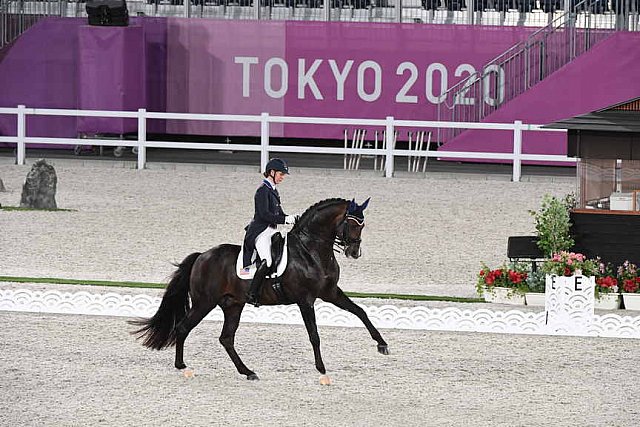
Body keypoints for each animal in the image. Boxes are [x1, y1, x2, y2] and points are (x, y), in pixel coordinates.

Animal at [131, 197, 390, 382]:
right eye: (351, 223)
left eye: (363, 225)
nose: (354, 252)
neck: (311, 251)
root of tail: (202, 256)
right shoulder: (306, 300)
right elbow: (314, 334)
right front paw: (321, 368)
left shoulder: (330, 293)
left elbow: (360, 312)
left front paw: (382, 345)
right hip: (204, 303)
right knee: (183, 328)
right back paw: (182, 366)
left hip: (233, 305)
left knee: (226, 338)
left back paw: (248, 372)